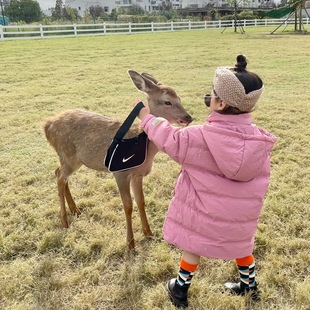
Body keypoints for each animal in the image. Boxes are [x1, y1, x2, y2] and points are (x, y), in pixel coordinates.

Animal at [43, 69, 191, 249]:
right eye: (167, 101)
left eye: (179, 98)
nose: (188, 117)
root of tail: (47, 126)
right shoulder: (120, 172)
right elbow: (128, 205)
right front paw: (131, 243)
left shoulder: (138, 174)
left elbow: (141, 201)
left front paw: (148, 233)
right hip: (68, 154)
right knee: (59, 176)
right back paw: (64, 221)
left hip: (72, 159)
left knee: (60, 174)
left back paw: (75, 210)